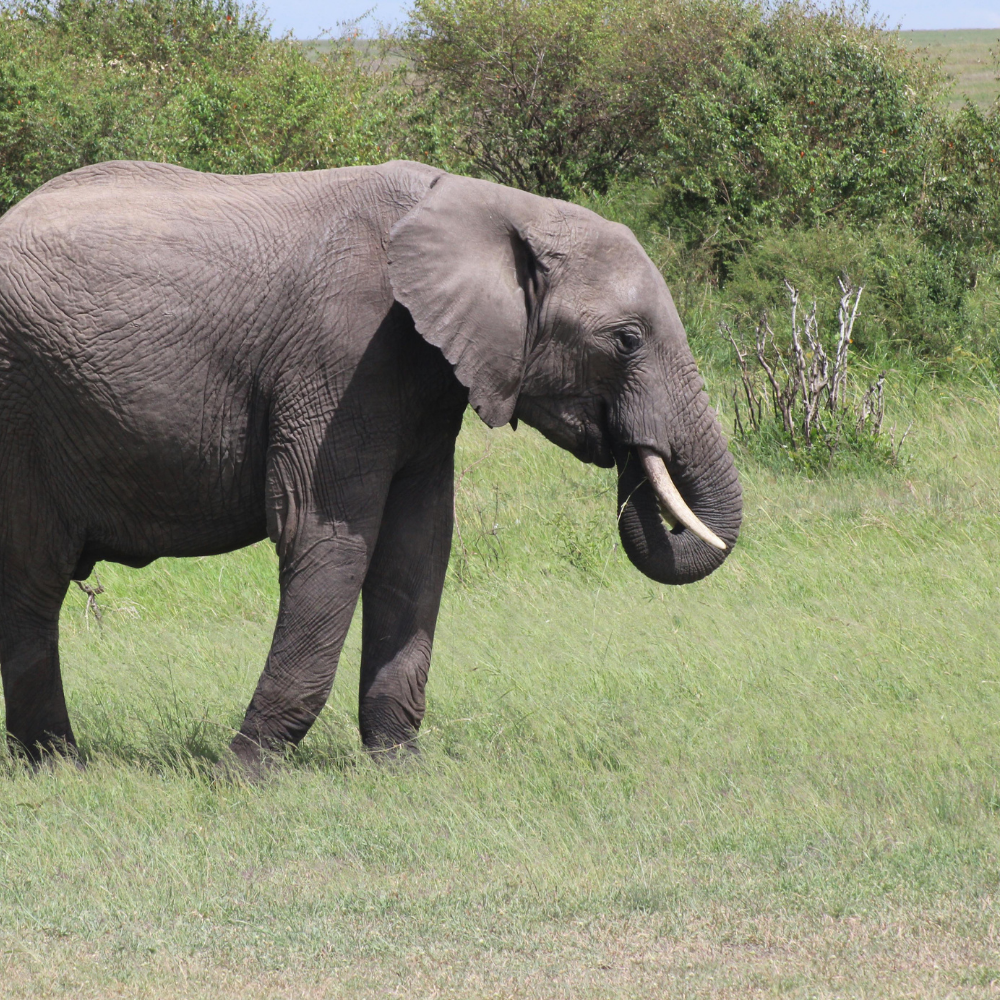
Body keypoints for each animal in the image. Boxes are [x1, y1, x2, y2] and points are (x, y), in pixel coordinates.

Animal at [0, 159, 741, 767]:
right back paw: (59, 765)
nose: (632, 454)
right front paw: (242, 772)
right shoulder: (341, 356)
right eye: (627, 340)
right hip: (24, 408)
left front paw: (398, 766)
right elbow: (329, 538)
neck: (496, 206)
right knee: (34, 581)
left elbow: (419, 545)